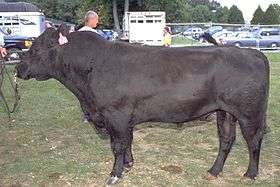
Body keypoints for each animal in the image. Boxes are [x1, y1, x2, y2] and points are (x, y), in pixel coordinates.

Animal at [15, 28, 270, 186]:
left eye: (35, 49)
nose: (18, 68)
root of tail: (252, 52)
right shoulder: (122, 118)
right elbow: (127, 141)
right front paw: (128, 165)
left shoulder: (115, 114)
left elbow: (117, 145)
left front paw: (114, 174)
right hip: (225, 112)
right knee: (226, 140)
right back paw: (214, 171)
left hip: (249, 113)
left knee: (254, 141)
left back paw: (250, 174)